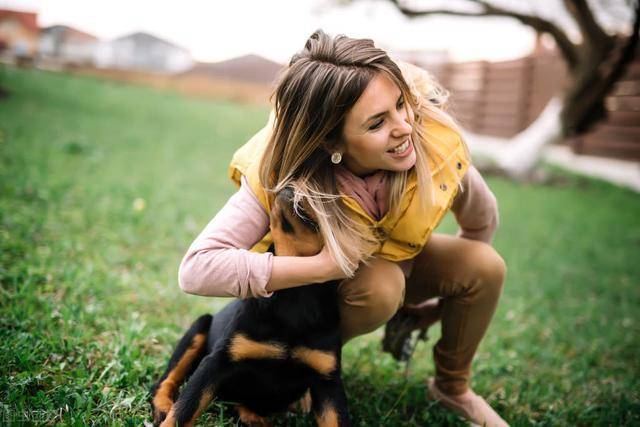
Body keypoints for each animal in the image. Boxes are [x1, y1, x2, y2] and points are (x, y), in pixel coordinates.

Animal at [150, 188, 350, 427]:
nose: (291, 187)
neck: (297, 295)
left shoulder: (328, 381)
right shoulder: (218, 361)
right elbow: (185, 408)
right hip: (199, 327)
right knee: (164, 382)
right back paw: (163, 406)